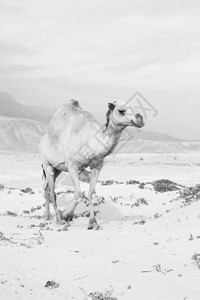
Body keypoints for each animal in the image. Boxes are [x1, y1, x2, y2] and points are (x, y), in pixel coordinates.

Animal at [38, 99, 144, 229]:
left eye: (134, 108)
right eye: (121, 111)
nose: (140, 118)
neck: (91, 141)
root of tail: (42, 139)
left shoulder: (97, 165)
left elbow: (91, 193)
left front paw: (92, 222)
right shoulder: (72, 165)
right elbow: (78, 192)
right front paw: (66, 214)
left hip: (57, 168)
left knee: (47, 189)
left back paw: (47, 216)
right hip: (46, 163)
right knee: (52, 192)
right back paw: (58, 219)